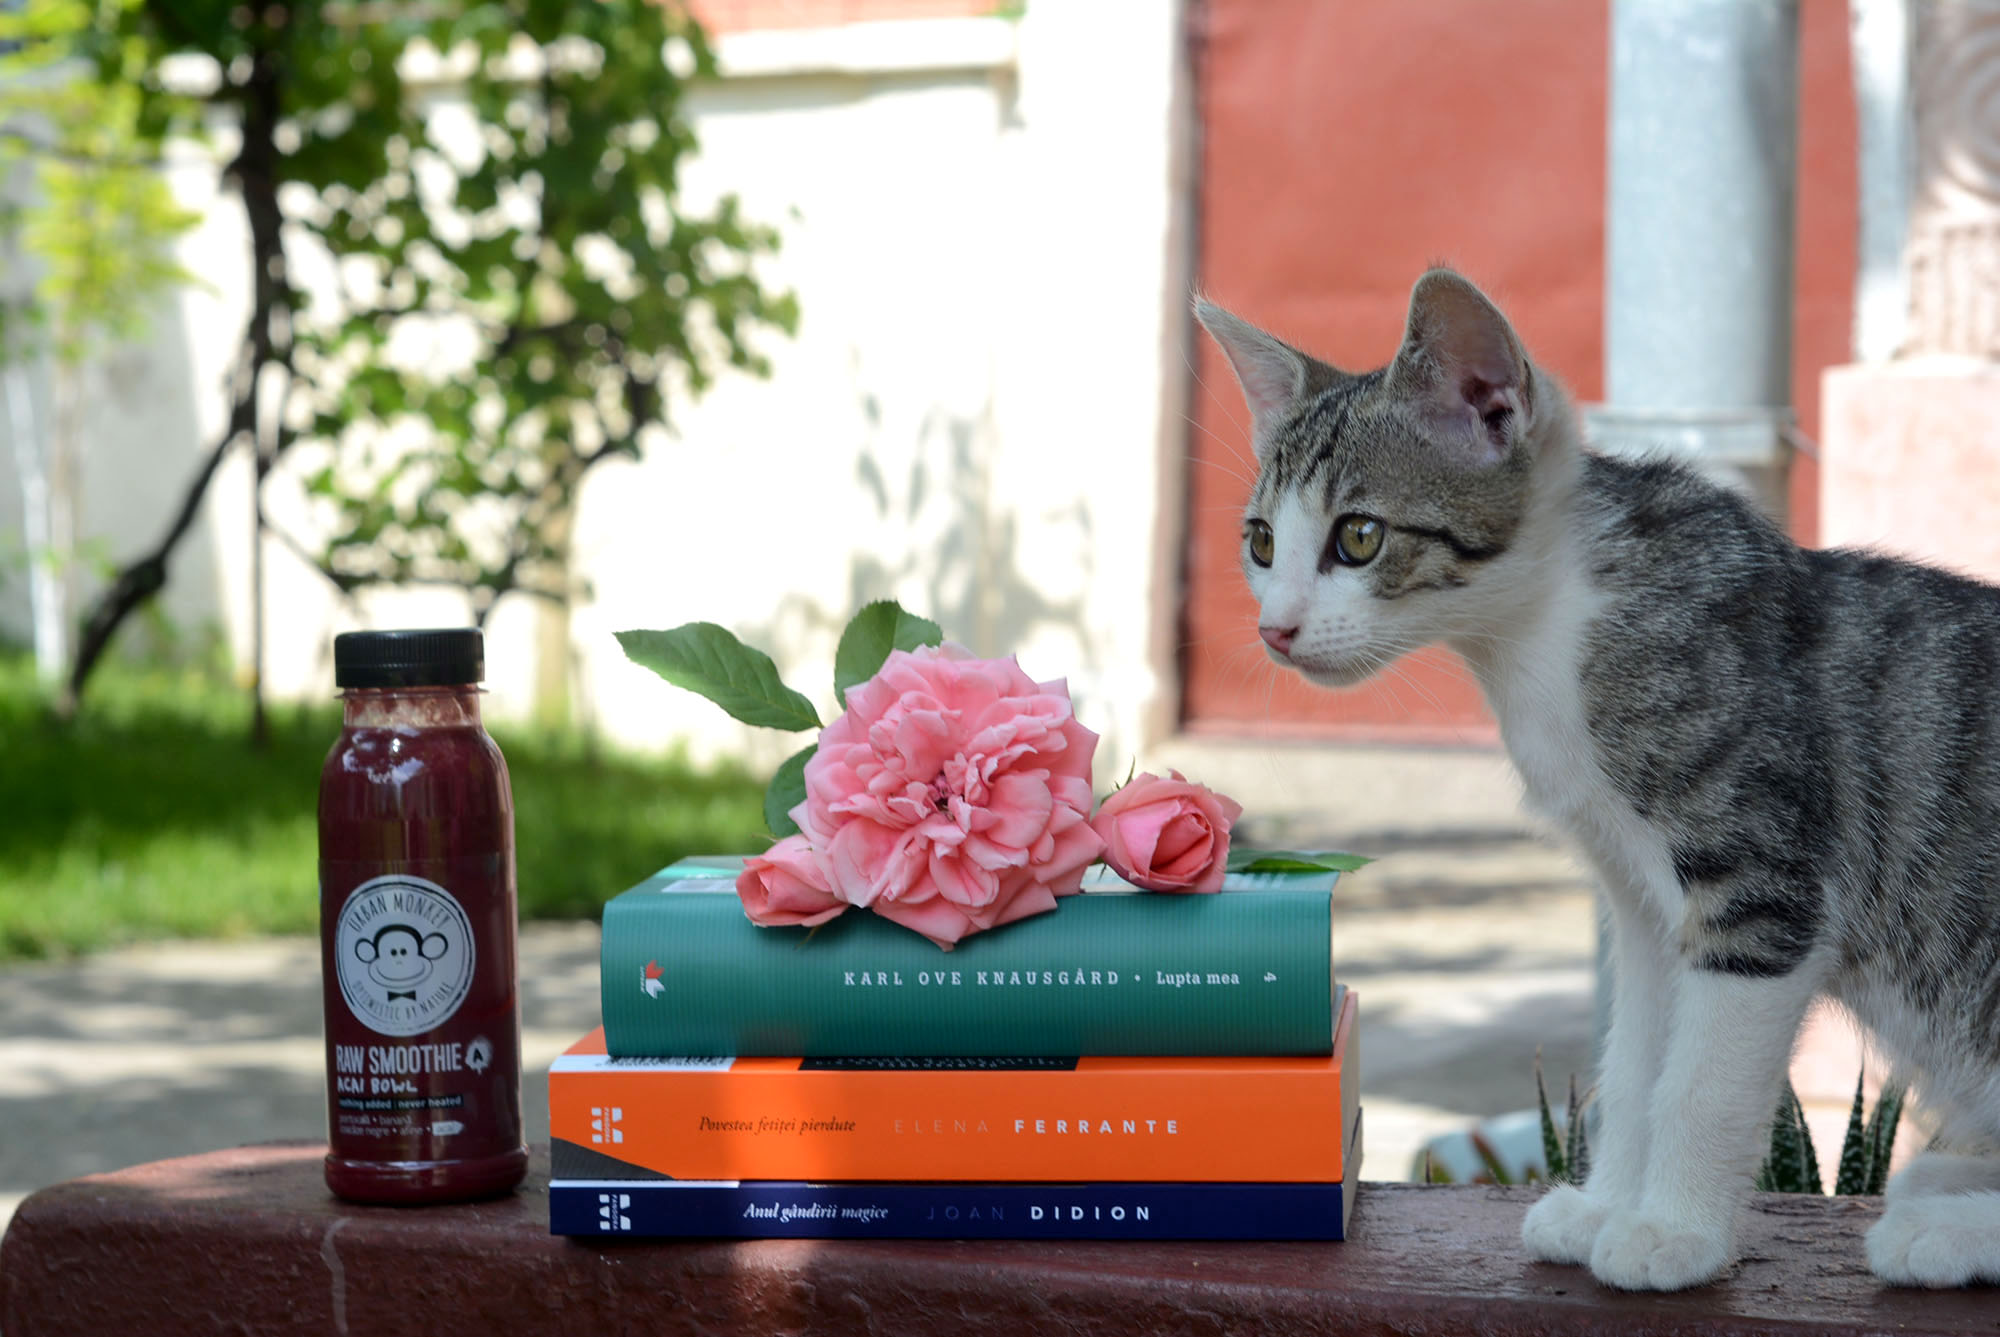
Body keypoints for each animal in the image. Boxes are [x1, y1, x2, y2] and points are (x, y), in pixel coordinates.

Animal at [1197, 269, 2000, 1292]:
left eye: (1361, 537)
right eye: (1262, 543)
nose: (1277, 629)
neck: (1542, 634)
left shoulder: (1762, 888)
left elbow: (1700, 1080)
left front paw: (1676, 1233)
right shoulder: (1645, 906)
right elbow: (1638, 1060)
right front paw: (1610, 1203)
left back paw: (1948, 1227)